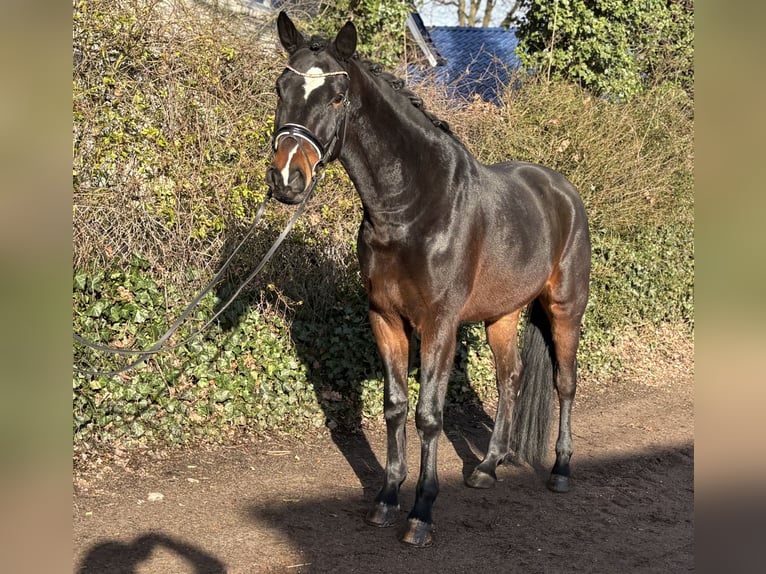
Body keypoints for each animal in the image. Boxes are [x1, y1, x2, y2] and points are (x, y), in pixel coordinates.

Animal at [265, 12, 591, 547]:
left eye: (337, 97)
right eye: (281, 87)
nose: (288, 179)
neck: (412, 209)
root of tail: (562, 191)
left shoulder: (439, 324)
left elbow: (428, 416)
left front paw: (421, 513)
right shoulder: (385, 318)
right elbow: (396, 406)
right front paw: (386, 499)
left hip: (565, 307)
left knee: (565, 383)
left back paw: (561, 470)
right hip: (502, 316)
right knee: (510, 379)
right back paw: (488, 466)